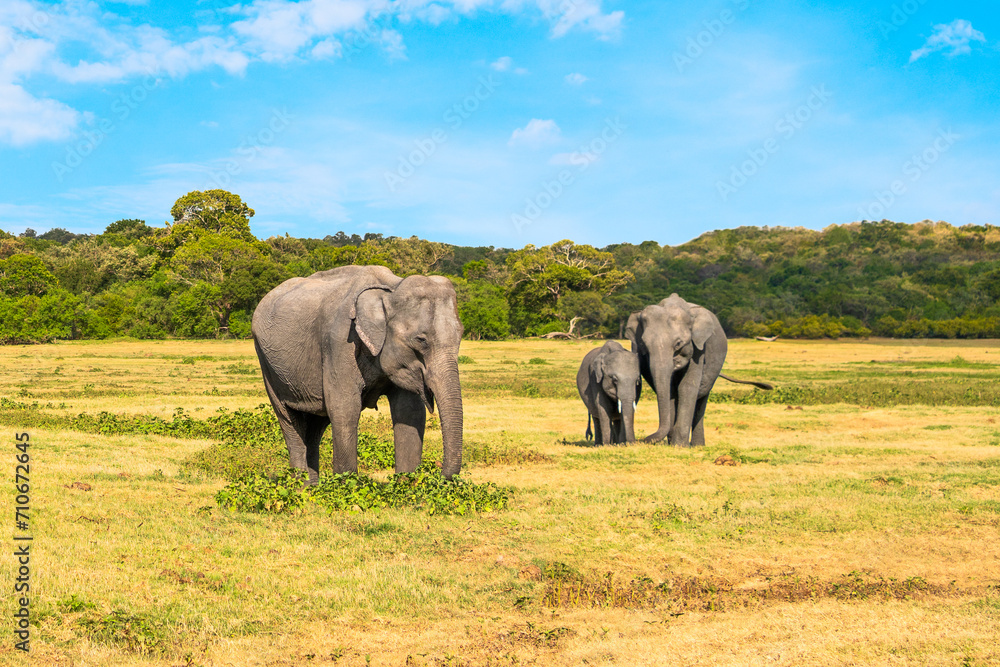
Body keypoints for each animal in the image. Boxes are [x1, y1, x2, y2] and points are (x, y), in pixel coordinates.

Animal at [251, 265, 464, 484]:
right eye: (421, 340)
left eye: (461, 335)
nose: (439, 473)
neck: (390, 288)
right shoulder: (340, 342)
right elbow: (345, 408)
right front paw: (347, 485)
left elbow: (410, 412)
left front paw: (406, 486)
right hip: (267, 365)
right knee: (290, 421)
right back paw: (302, 486)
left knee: (316, 424)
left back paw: (313, 488)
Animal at [625, 294, 772, 447]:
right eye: (644, 345)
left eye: (678, 343)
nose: (644, 440)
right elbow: (669, 390)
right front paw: (675, 443)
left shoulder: (698, 348)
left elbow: (687, 387)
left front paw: (679, 446)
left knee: (702, 396)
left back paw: (697, 445)